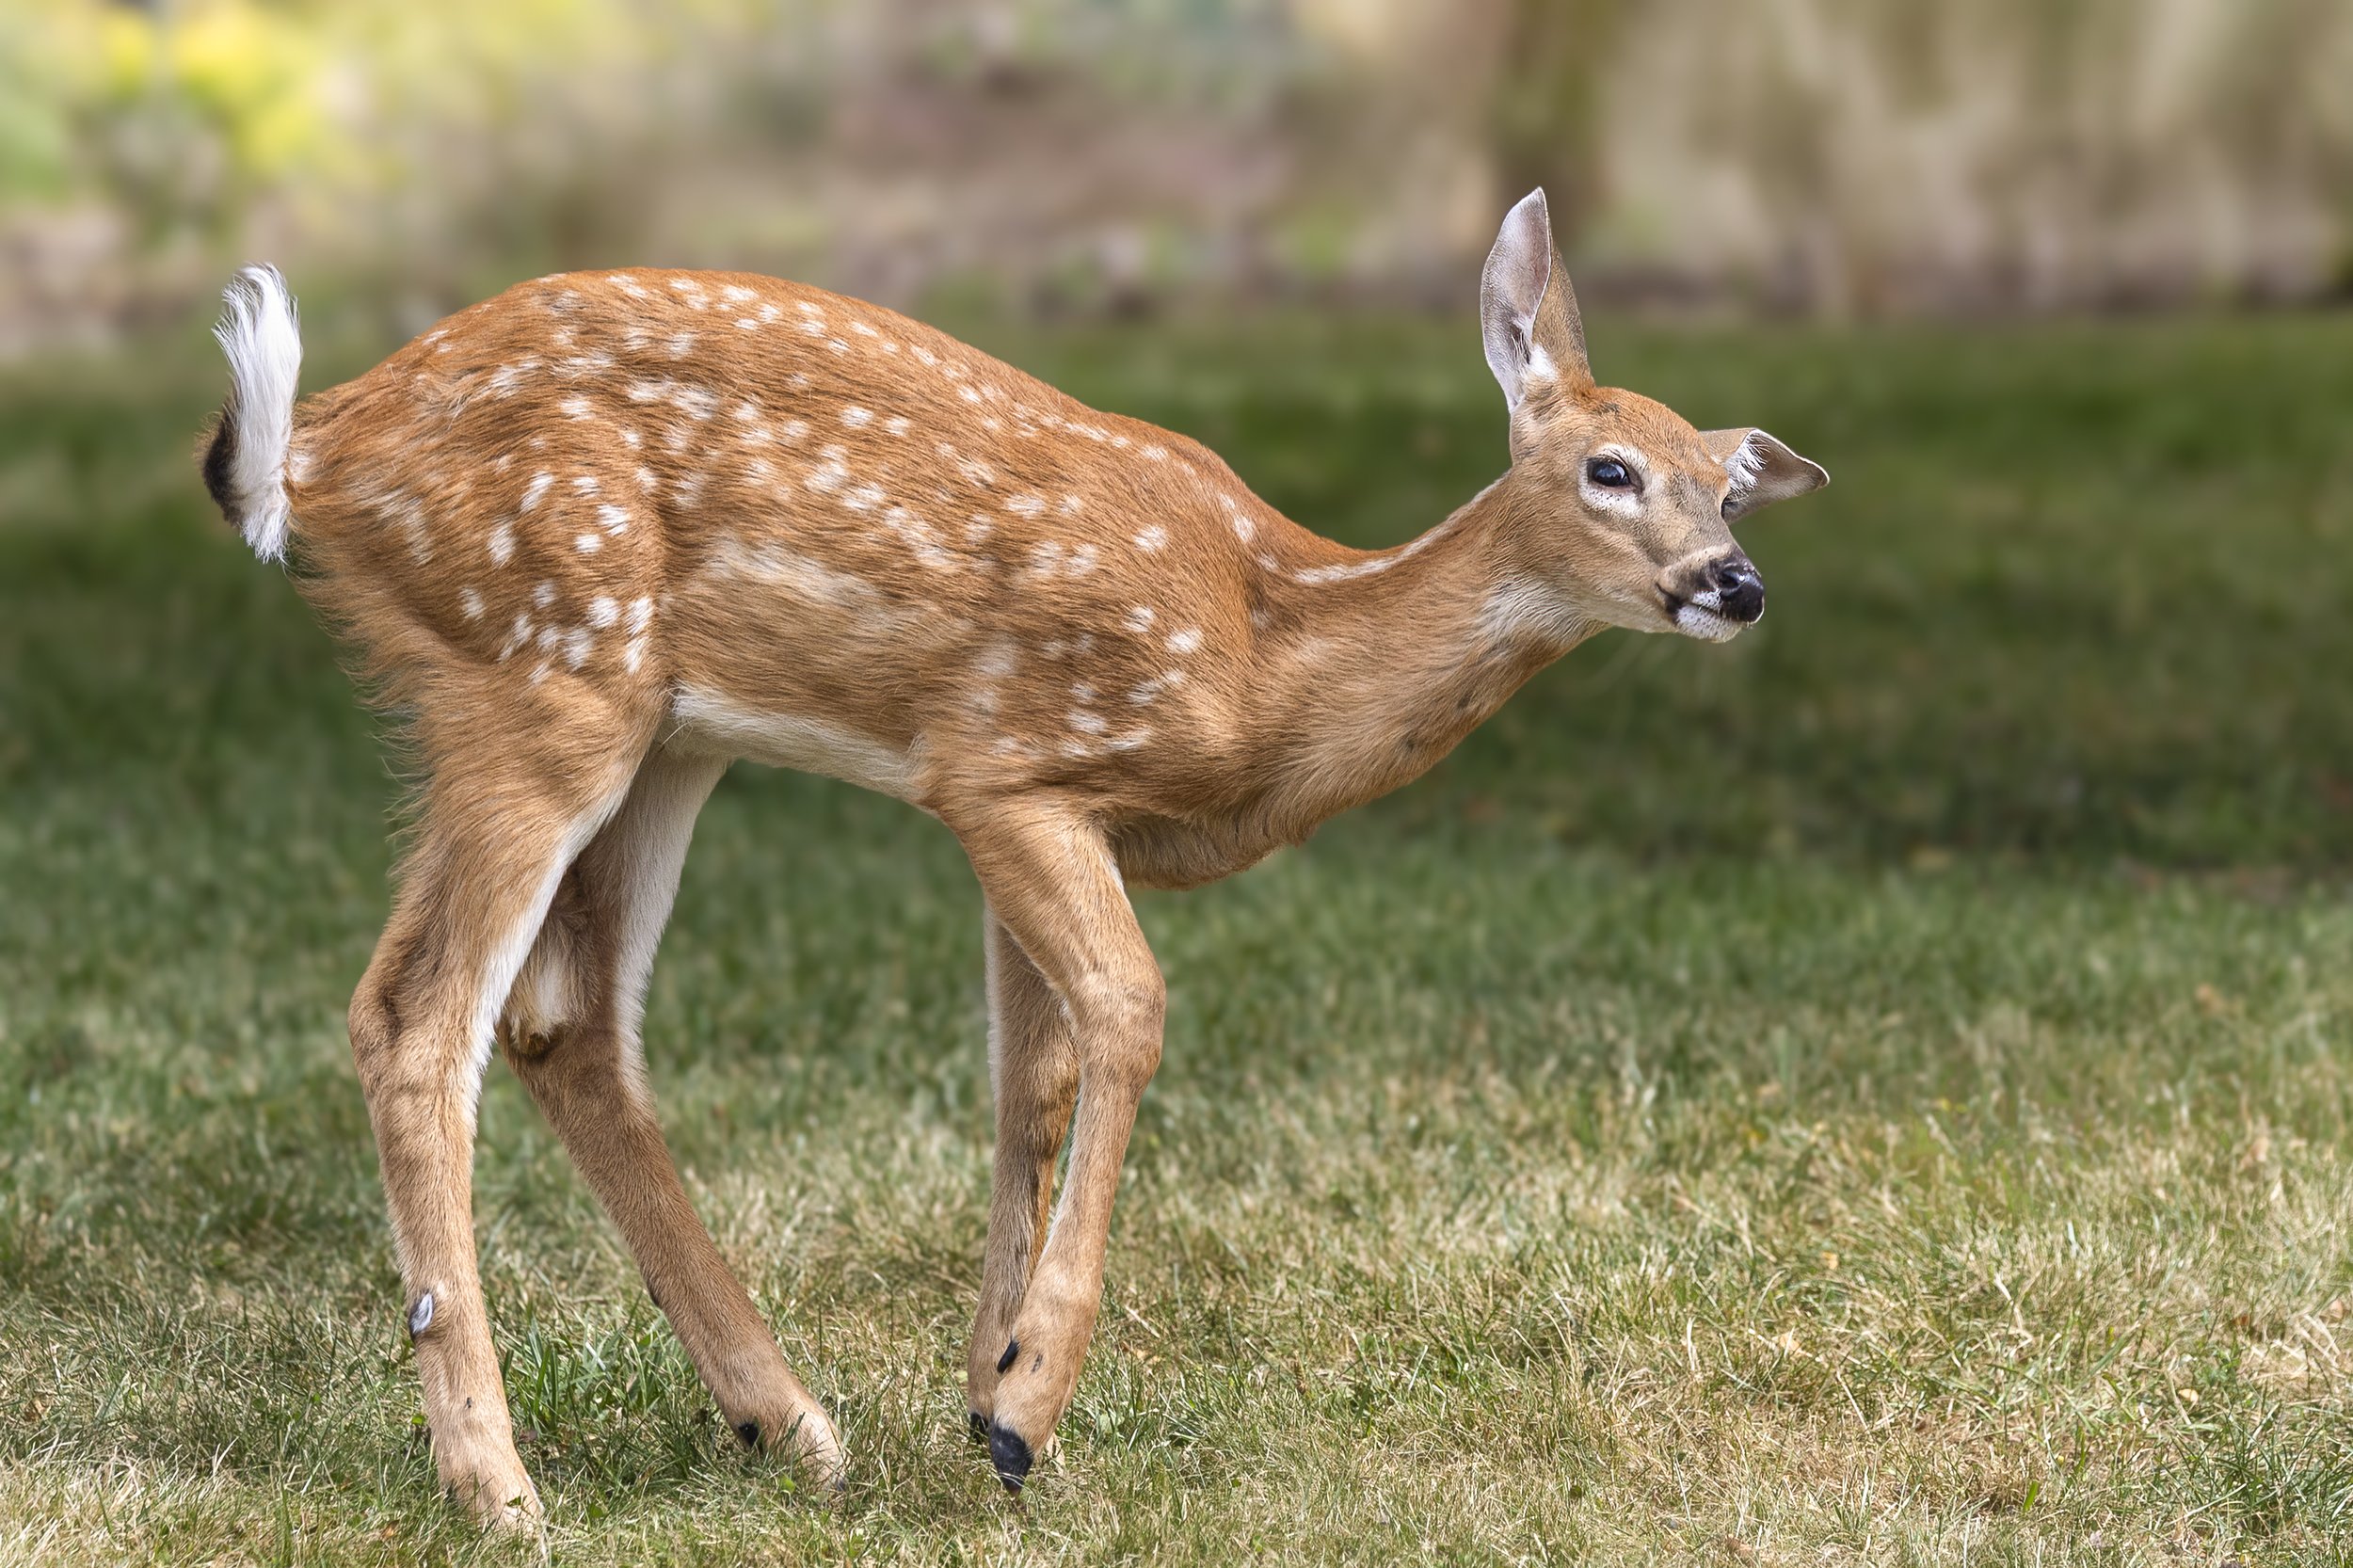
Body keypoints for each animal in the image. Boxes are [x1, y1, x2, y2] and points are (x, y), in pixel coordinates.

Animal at [197, 189, 1825, 1525]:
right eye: (1610, 467)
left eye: (1729, 486)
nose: (1736, 583)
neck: (1268, 655)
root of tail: (318, 445)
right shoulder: (1001, 764)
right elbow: (1131, 1008)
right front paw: (1029, 1404)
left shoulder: (1030, 806)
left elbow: (1027, 1078)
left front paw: (986, 1393)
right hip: (541, 663)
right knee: (418, 1018)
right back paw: (500, 1485)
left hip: (662, 729)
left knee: (564, 1020)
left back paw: (792, 1427)